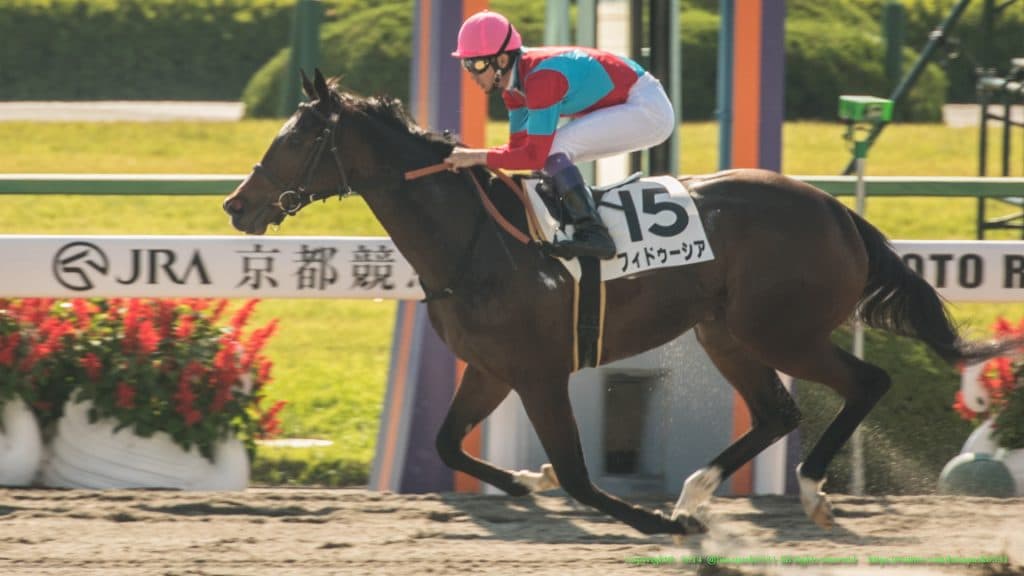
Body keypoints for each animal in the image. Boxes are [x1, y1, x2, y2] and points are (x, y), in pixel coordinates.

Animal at [223, 70, 1019, 535]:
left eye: (293, 140)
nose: (236, 204)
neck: (475, 238)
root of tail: (835, 209)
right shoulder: (491, 368)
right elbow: (452, 444)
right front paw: (525, 479)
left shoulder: (540, 373)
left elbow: (578, 474)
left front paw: (648, 523)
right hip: (725, 332)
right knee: (777, 411)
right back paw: (695, 493)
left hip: (781, 331)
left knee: (866, 382)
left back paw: (803, 492)